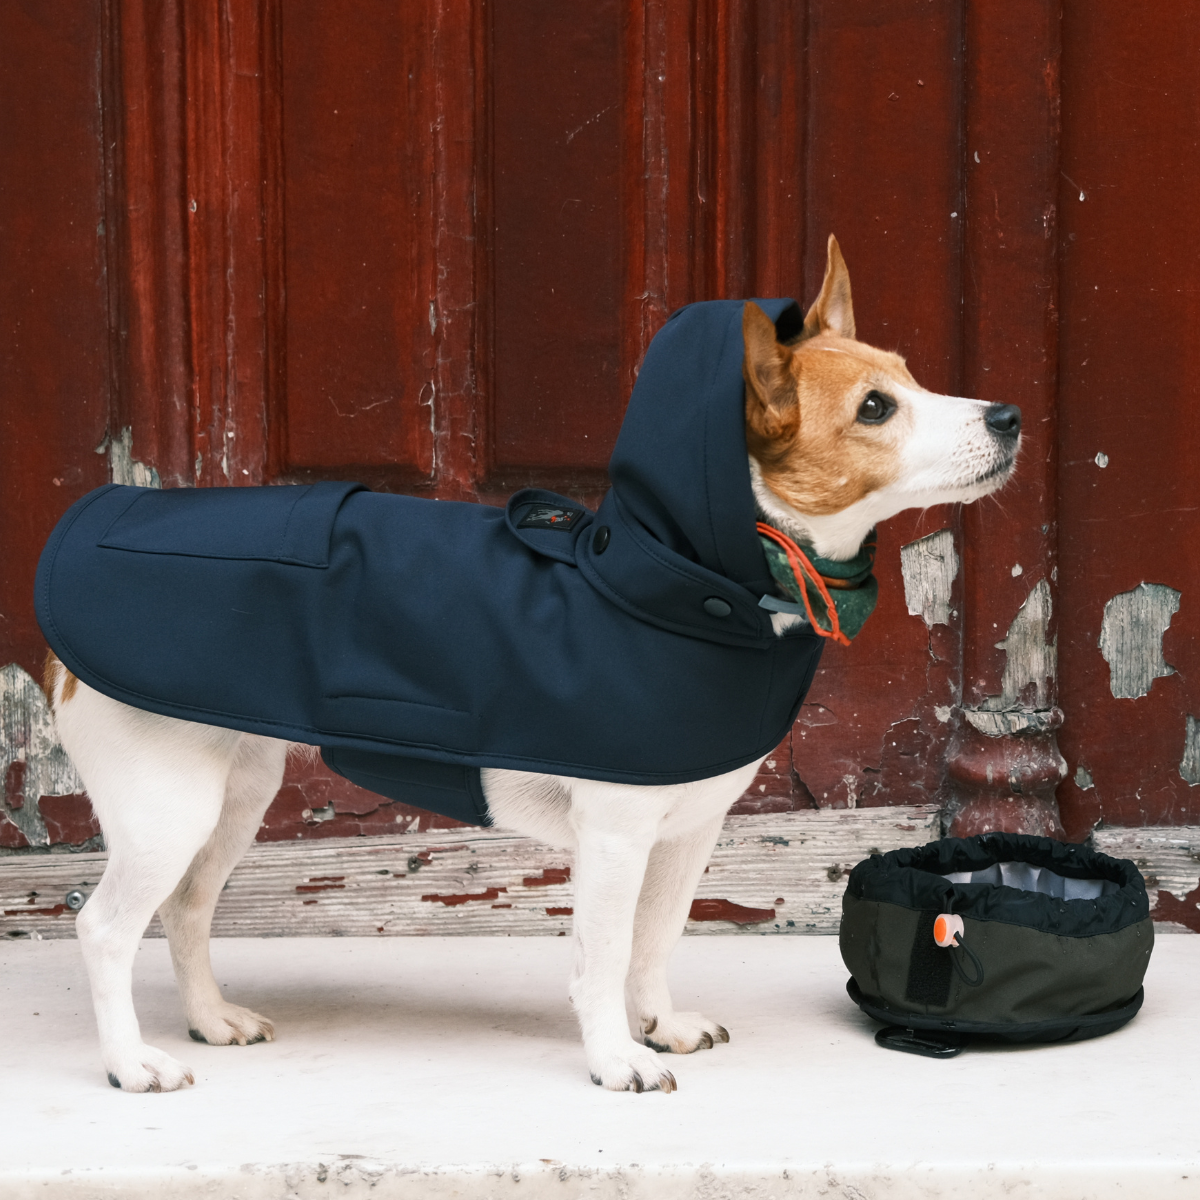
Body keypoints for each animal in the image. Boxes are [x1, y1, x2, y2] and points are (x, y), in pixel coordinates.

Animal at [42, 236, 1019, 1093]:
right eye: (875, 408)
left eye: (912, 374)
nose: (1009, 415)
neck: (678, 578)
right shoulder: (615, 835)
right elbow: (602, 954)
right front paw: (617, 1058)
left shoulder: (688, 833)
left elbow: (656, 939)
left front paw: (659, 1022)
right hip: (168, 808)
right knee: (104, 929)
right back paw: (130, 1064)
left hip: (234, 796)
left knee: (184, 909)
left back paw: (210, 1017)